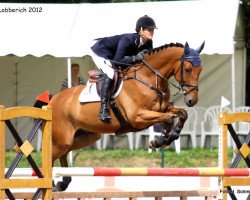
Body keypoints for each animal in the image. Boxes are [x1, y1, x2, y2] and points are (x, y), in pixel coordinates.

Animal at [49, 41, 205, 191]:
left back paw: (63, 182)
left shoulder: (163, 109)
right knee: (51, 157)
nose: (192, 100)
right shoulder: (137, 117)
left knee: (64, 153)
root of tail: (53, 100)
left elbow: (181, 114)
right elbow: (167, 118)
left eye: (200, 70)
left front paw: (168, 137)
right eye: (187, 69)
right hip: (62, 140)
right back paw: (52, 184)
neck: (149, 79)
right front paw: (160, 141)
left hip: (85, 137)